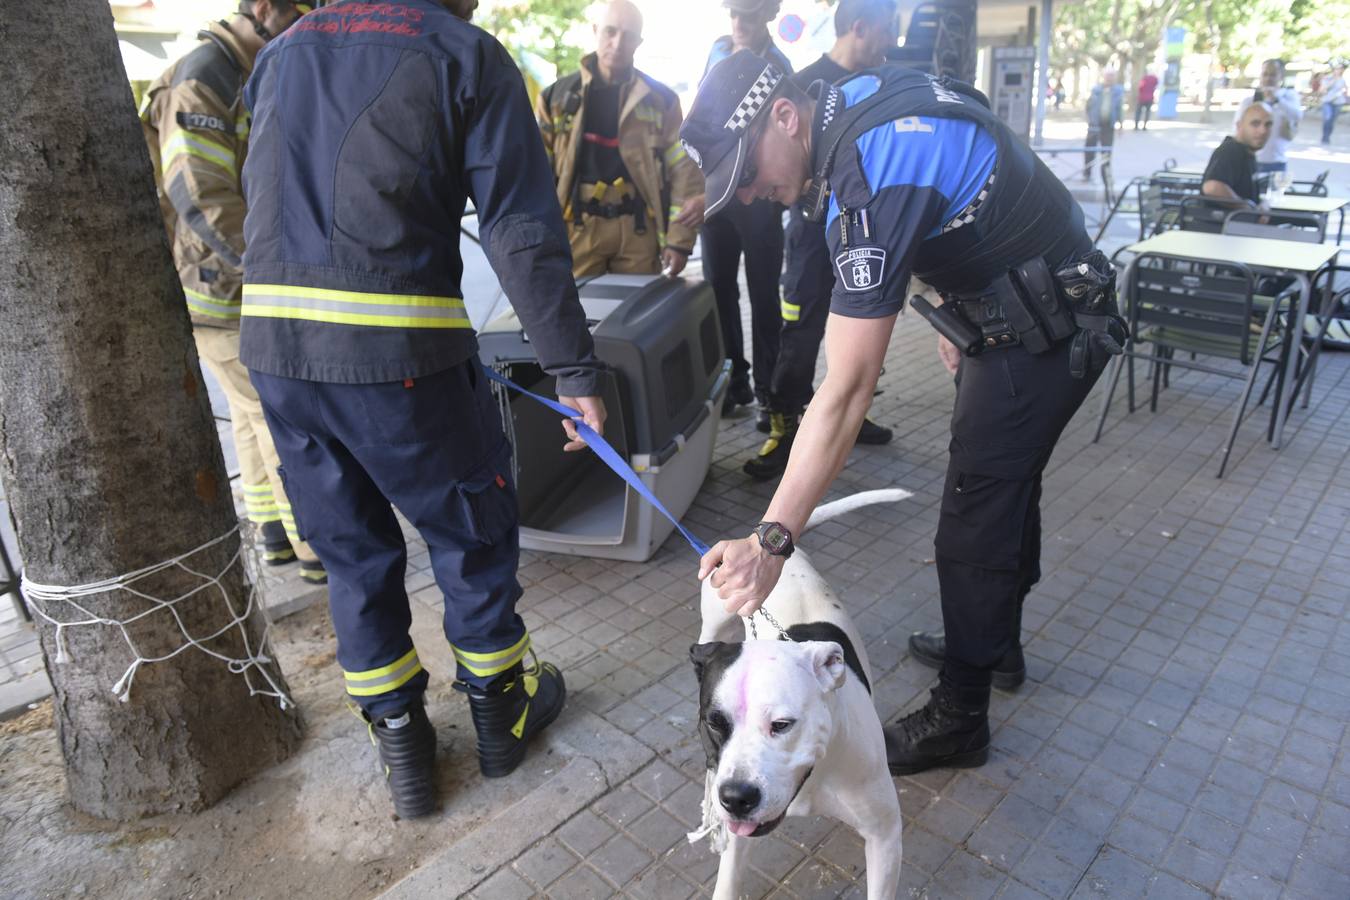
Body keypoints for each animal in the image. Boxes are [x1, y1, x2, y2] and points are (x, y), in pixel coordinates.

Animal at [691, 493, 912, 900]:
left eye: (782, 725)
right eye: (714, 723)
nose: (736, 798)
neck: (814, 778)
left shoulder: (885, 835)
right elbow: (728, 882)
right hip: (714, 624)